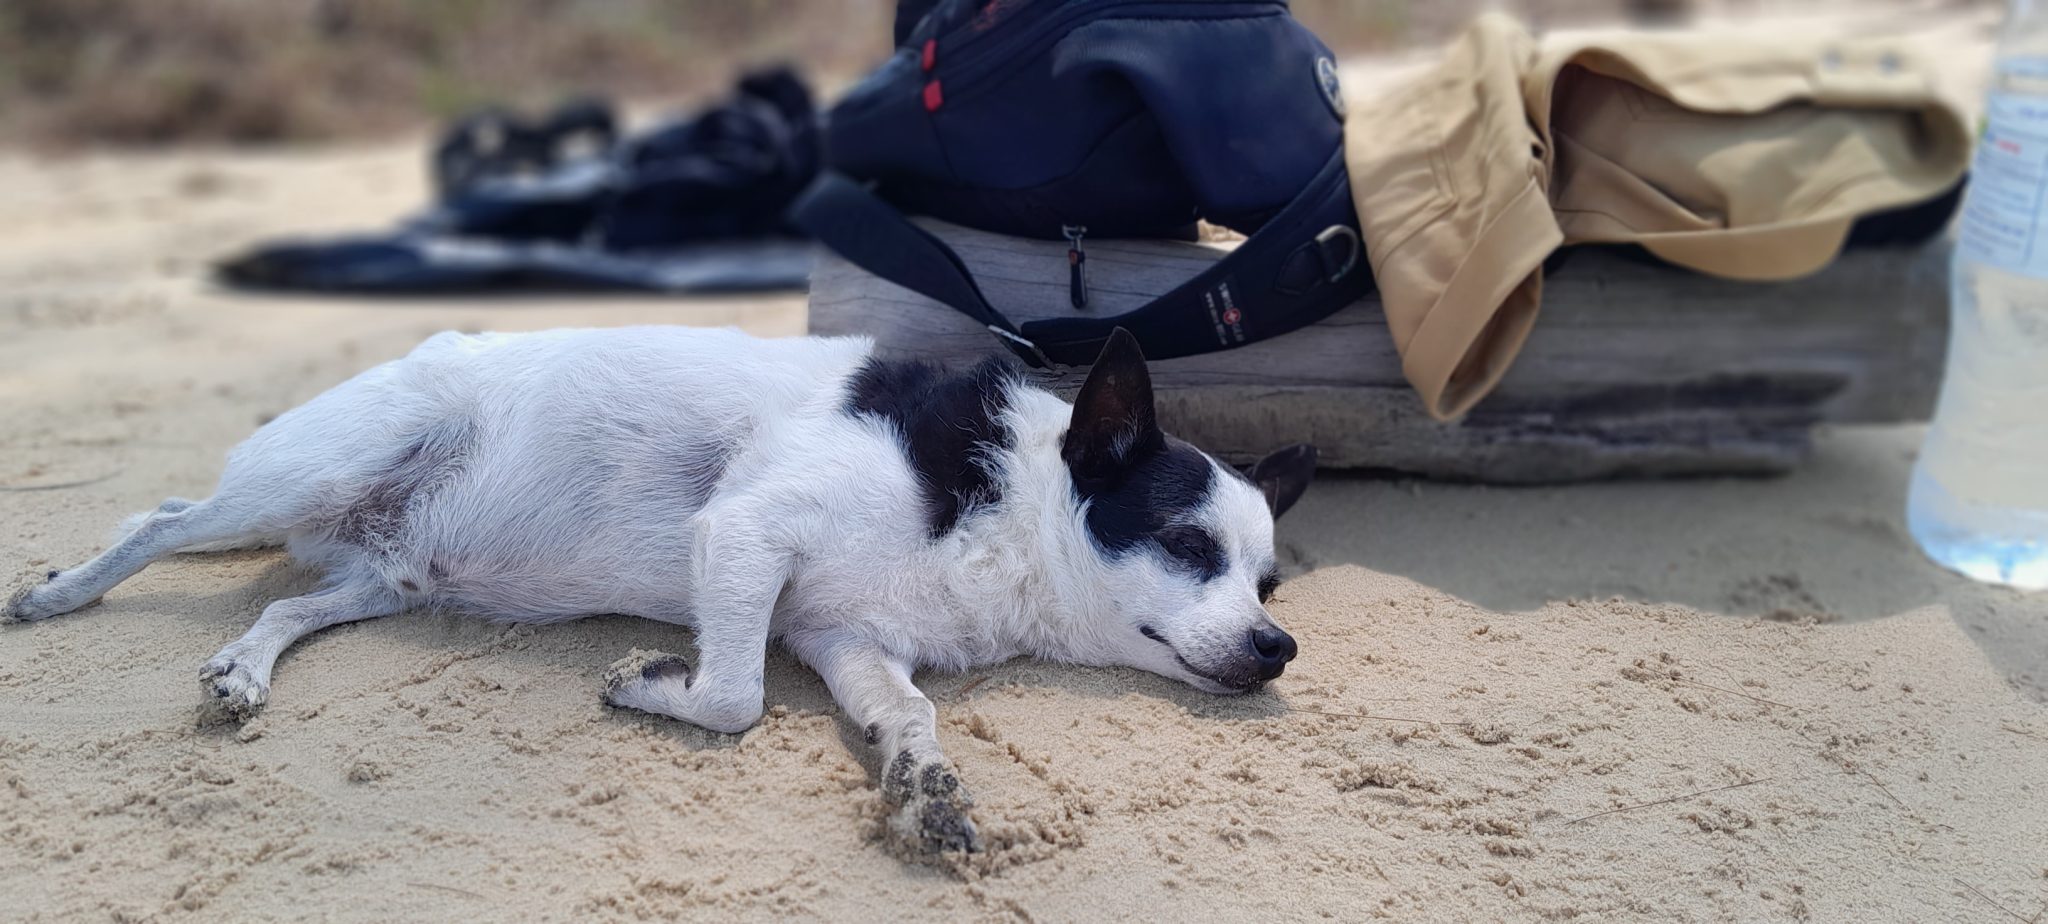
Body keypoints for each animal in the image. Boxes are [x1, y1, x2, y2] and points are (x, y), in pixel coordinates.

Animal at [4, 327, 1310, 860]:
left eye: (1267, 580)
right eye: (1186, 543)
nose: (1275, 647)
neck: (1011, 508)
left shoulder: (845, 640)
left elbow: (906, 715)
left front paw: (920, 784)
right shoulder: (741, 535)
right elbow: (732, 696)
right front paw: (646, 682)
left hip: (387, 577)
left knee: (281, 608)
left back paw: (240, 670)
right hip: (303, 478)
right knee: (158, 519)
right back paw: (59, 596)